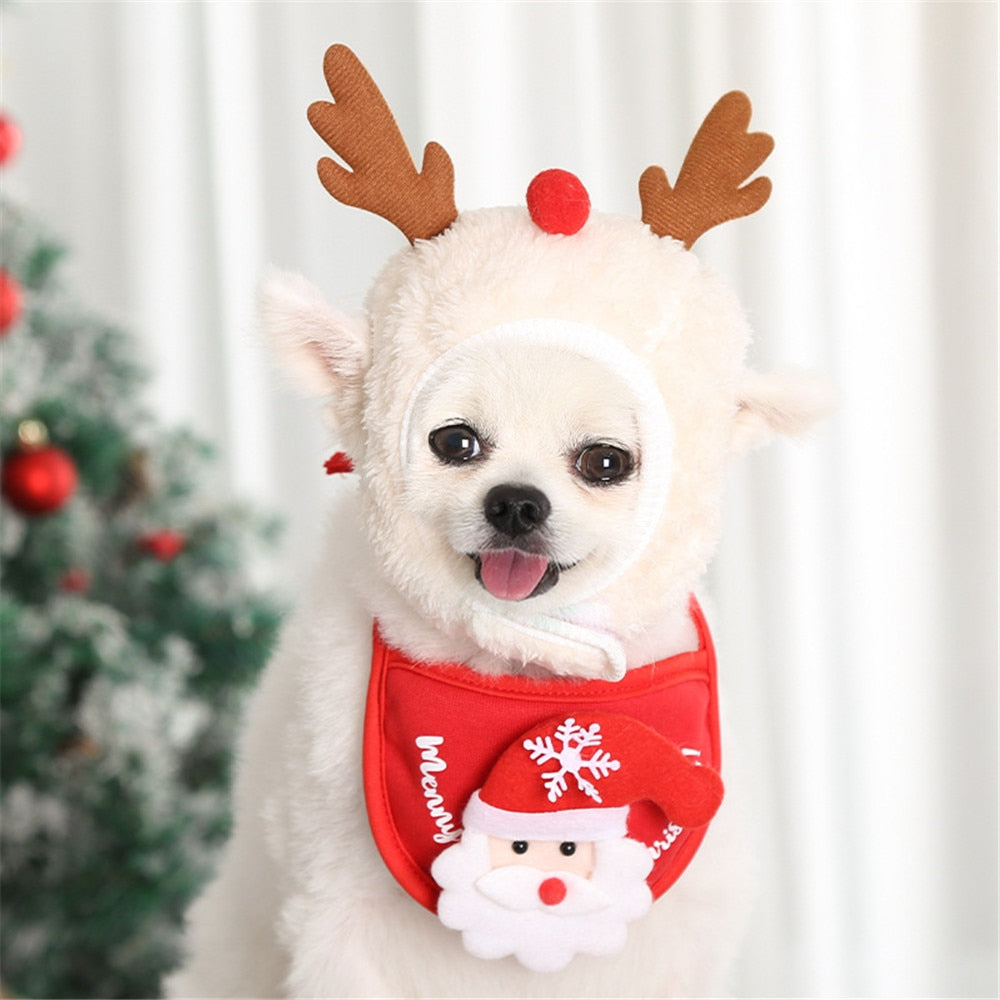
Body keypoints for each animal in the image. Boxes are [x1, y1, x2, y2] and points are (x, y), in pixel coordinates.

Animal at [168, 48, 832, 1000]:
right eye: (455, 442)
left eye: (605, 462)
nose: (517, 501)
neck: (529, 675)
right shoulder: (342, 918)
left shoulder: (670, 940)